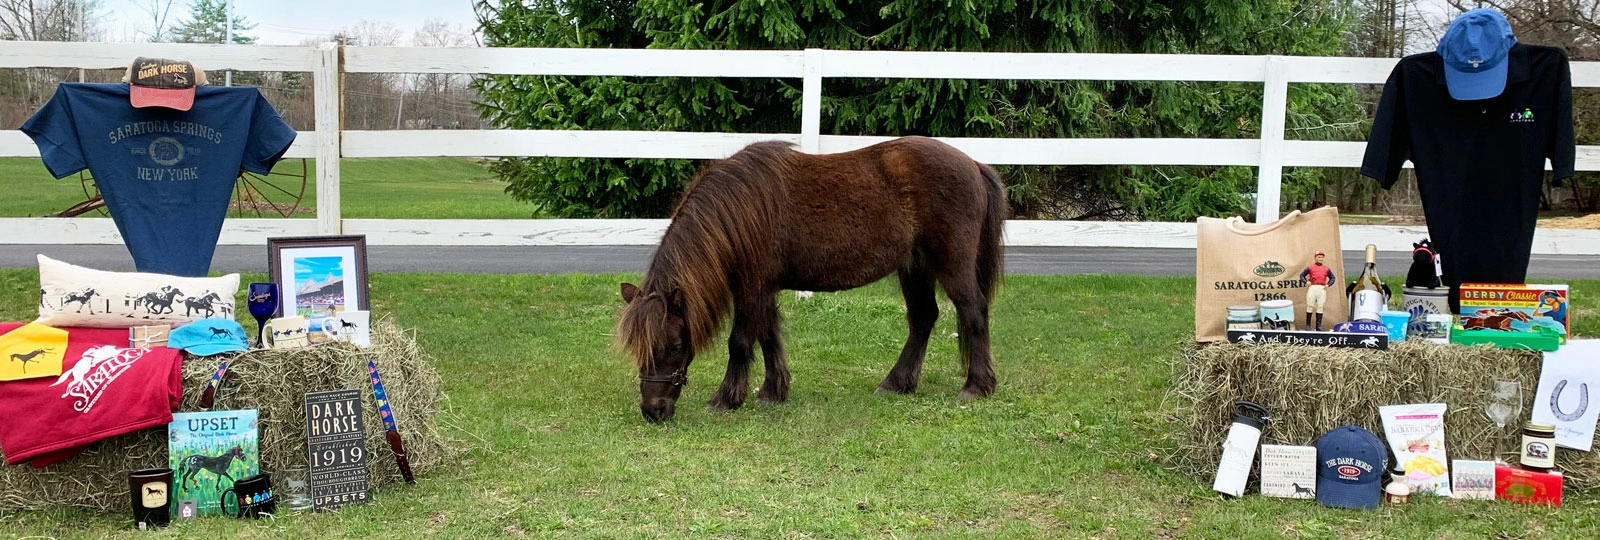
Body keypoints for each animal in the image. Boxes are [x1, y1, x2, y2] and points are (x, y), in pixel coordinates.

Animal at [611, 135, 998, 421]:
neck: (742, 211)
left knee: (973, 312)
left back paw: (976, 386)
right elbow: (768, 337)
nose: (653, 410)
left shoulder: (752, 289)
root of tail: (974, 165)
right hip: (914, 267)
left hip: (951, 264)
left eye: (674, 346)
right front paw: (772, 391)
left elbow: (740, 342)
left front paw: (726, 398)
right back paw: (896, 383)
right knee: (922, 319)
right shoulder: (764, 289)